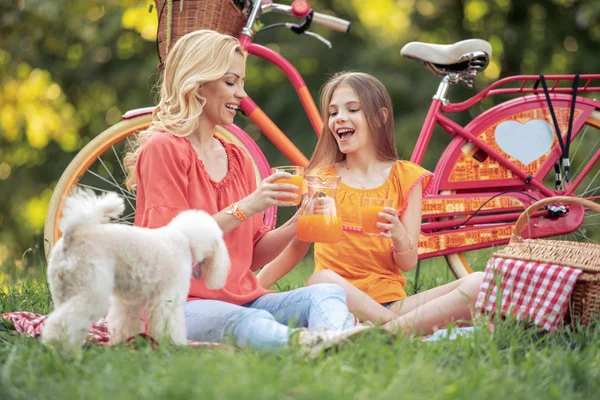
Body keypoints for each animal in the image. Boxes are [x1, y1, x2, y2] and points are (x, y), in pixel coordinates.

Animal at [41, 190, 230, 354]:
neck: (183, 237)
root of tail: (72, 234)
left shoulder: (128, 301)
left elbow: (125, 321)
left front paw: (125, 342)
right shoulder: (167, 297)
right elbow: (170, 322)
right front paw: (173, 344)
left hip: (62, 287)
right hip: (90, 289)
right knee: (65, 321)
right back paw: (59, 347)